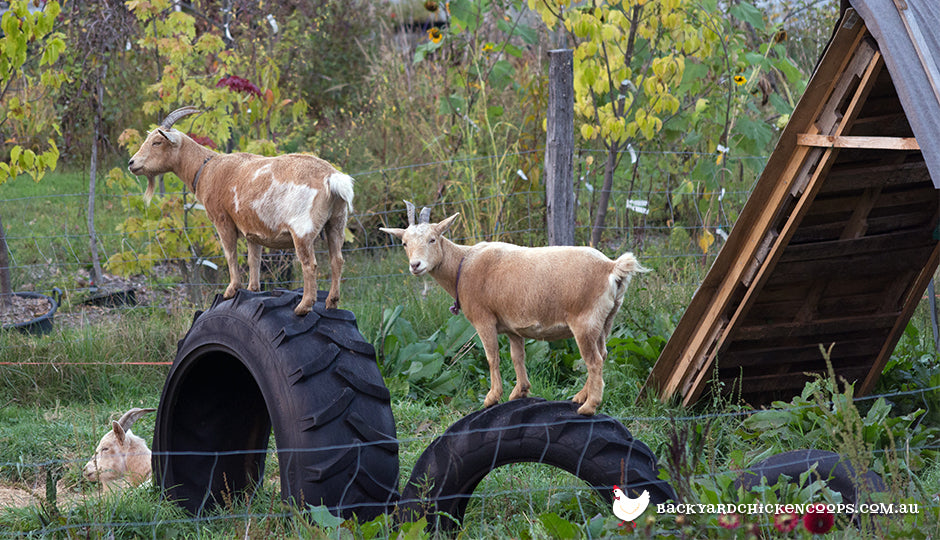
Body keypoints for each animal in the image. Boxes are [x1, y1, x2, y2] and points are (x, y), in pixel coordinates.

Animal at [378, 200, 648, 416]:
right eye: (404, 243)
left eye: (432, 239)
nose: (416, 265)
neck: (462, 265)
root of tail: (611, 267)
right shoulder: (512, 327)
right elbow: (517, 357)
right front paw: (520, 392)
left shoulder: (483, 319)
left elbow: (492, 357)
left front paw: (492, 397)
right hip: (606, 320)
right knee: (602, 354)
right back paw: (581, 396)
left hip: (585, 321)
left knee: (594, 361)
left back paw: (589, 406)